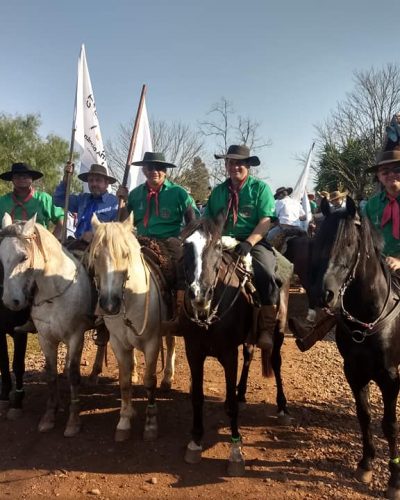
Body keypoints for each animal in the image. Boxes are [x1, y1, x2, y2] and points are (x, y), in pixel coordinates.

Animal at [0, 215, 93, 438]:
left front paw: (73, 420)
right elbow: (51, 374)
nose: (10, 302)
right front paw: (50, 415)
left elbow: (73, 373)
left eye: (23, 257)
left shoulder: (76, 336)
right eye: (0, 257)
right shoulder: (45, 338)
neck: (55, 291)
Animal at [89, 214, 177, 442]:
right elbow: (125, 381)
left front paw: (151, 423)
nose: (109, 304)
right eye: (96, 256)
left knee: (171, 344)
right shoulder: (118, 343)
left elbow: (150, 380)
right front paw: (124, 420)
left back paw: (168, 378)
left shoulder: (152, 343)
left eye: (126, 254)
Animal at [180, 218, 290, 476]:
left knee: (276, 362)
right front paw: (195, 441)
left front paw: (235, 451)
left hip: (279, 330)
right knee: (249, 355)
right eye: (186, 245)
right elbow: (197, 397)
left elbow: (230, 405)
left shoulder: (229, 354)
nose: (199, 293)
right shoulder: (193, 352)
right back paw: (242, 392)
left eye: (218, 246)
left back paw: (282, 407)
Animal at [310, 197, 400, 498]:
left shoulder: (390, 377)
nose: (323, 294)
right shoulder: (354, 371)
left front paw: (394, 480)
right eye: (318, 239)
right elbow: (365, 415)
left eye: (350, 243)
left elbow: (389, 424)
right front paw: (366, 464)